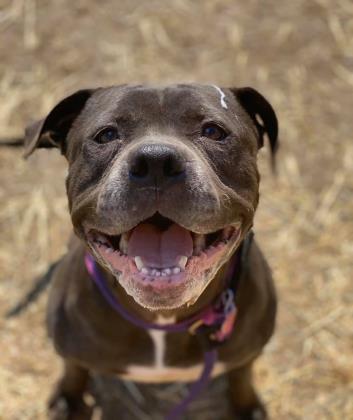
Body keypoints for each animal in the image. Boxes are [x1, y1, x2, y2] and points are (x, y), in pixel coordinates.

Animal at [24, 83, 278, 418]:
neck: (162, 319)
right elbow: (74, 369)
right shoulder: (71, 348)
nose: (156, 161)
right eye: (106, 135)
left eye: (213, 131)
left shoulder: (246, 351)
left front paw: (247, 405)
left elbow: (242, 373)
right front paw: (70, 399)